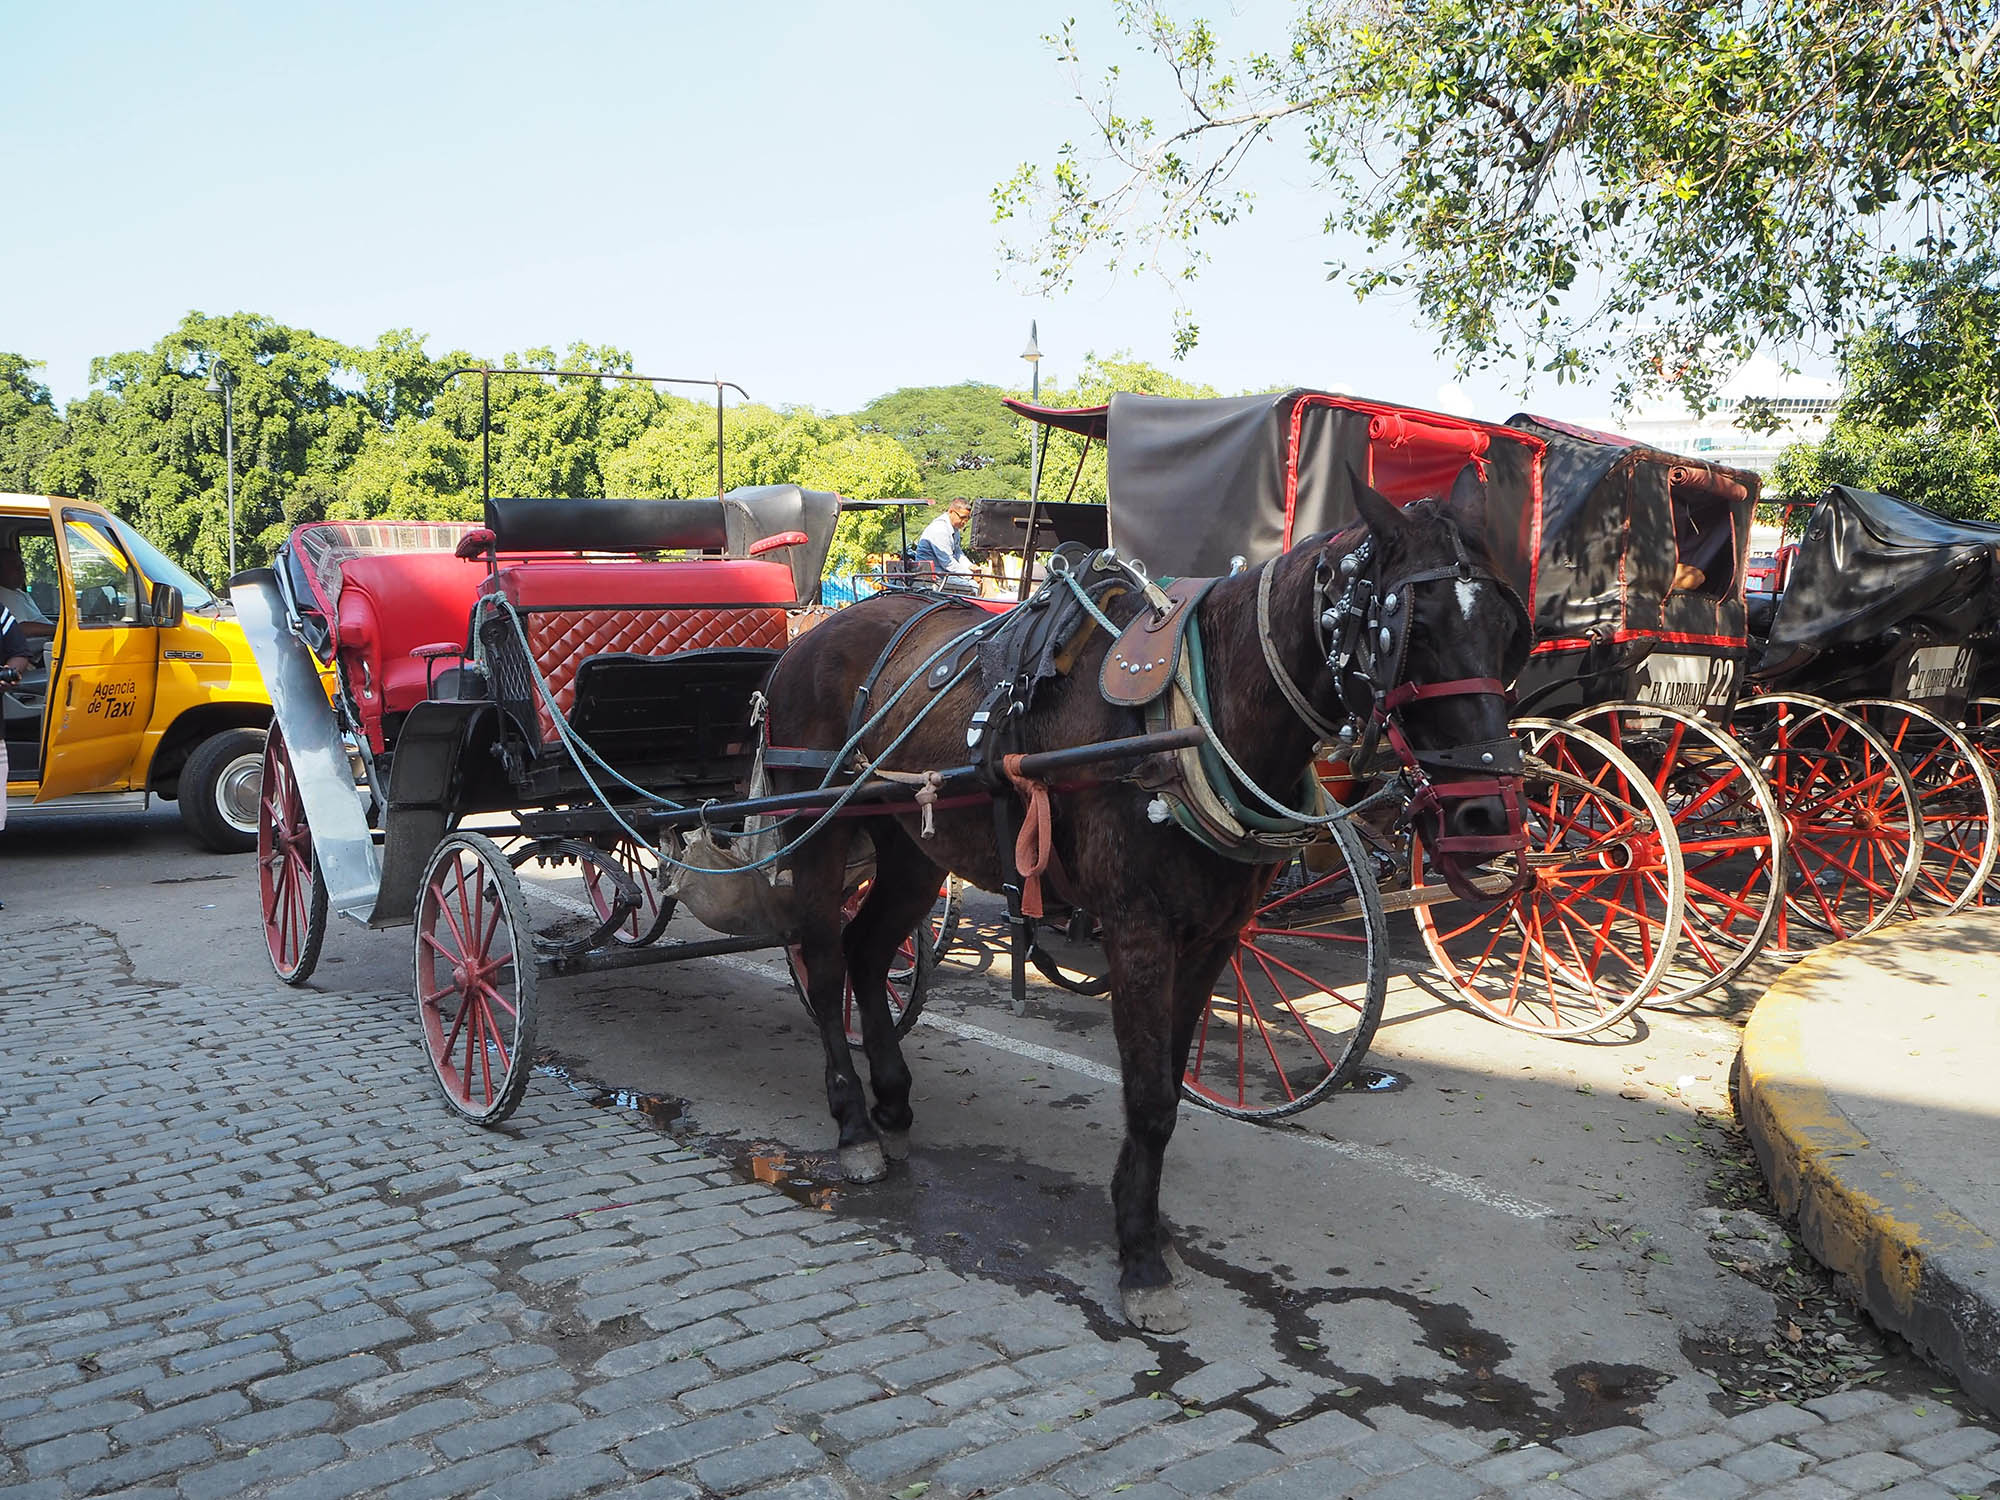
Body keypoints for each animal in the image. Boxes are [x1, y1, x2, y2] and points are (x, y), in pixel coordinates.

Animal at [760, 472, 1528, 1336]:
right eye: (1412, 629)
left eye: (1508, 630)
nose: (1488, 818)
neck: (1195, 716)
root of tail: (812, 632)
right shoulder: (1137, 931)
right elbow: (1152, 1095)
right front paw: (1139, 1259)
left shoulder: (1214, 936)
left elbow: (1165, 1080)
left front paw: (1148, 1228)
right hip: (816, 827)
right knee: (825, 961)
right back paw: (854, 1125)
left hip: (912, 847)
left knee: (868, 949)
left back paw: (890, 1099)